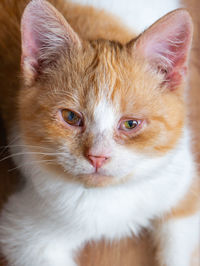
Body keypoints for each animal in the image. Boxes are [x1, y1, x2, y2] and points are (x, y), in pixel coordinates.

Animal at [0, 0, 199, 266]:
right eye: (70, 117)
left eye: (130, 124)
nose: (97, 157)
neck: (111, 195)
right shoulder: (25, 235)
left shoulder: (181, 183)